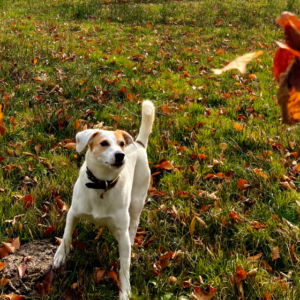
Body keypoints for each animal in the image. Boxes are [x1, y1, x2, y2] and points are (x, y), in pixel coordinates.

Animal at [52, 100, 155, 298]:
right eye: (104, 143)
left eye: (121, 144)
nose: (121, 155)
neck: (102, 184)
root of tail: (138, 144)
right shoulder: (73, 213)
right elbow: (67, 235)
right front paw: (61, 255)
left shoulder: (121, 233)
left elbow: (124, 268)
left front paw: (125, 291)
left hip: (137, 200)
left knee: (134, 223)